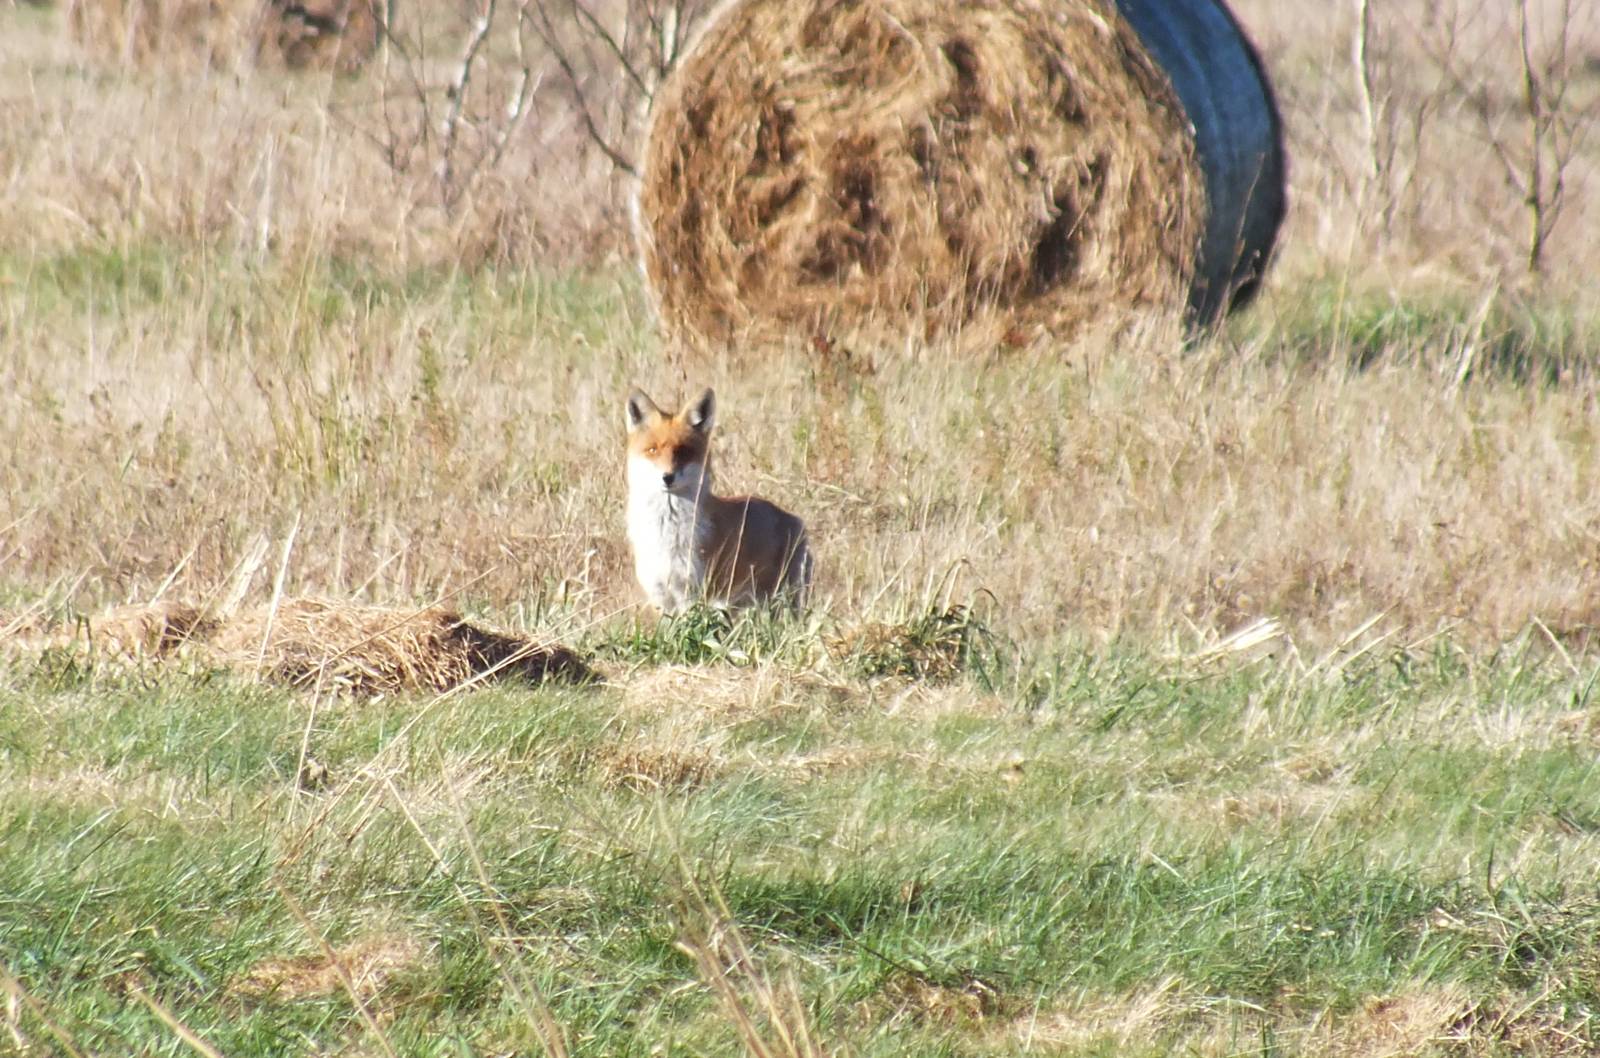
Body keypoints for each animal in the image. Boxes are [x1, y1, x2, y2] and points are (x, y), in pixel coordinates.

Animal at [624, 387, 812, 613]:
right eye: (652, 450)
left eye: (684, 452)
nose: (667, 477)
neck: (666, 532)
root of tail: (794, 519)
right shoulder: (661, 596)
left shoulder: (694, 594)